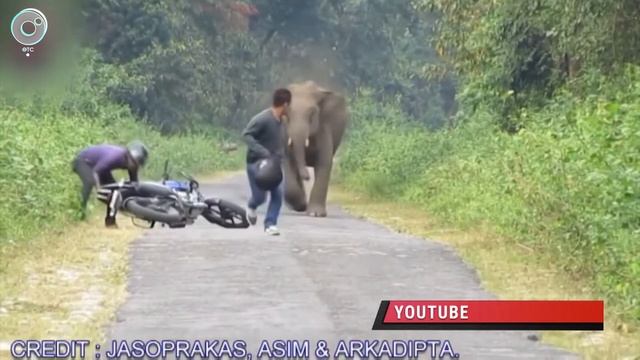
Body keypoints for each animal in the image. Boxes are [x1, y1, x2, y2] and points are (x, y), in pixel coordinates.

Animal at [282, 81, 348, 217]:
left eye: (312, 114)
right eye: (287, 114)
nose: (307, 177)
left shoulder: (324, 129)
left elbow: (324, 163)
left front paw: (315, 214)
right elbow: (288, 161)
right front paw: (300, 206)